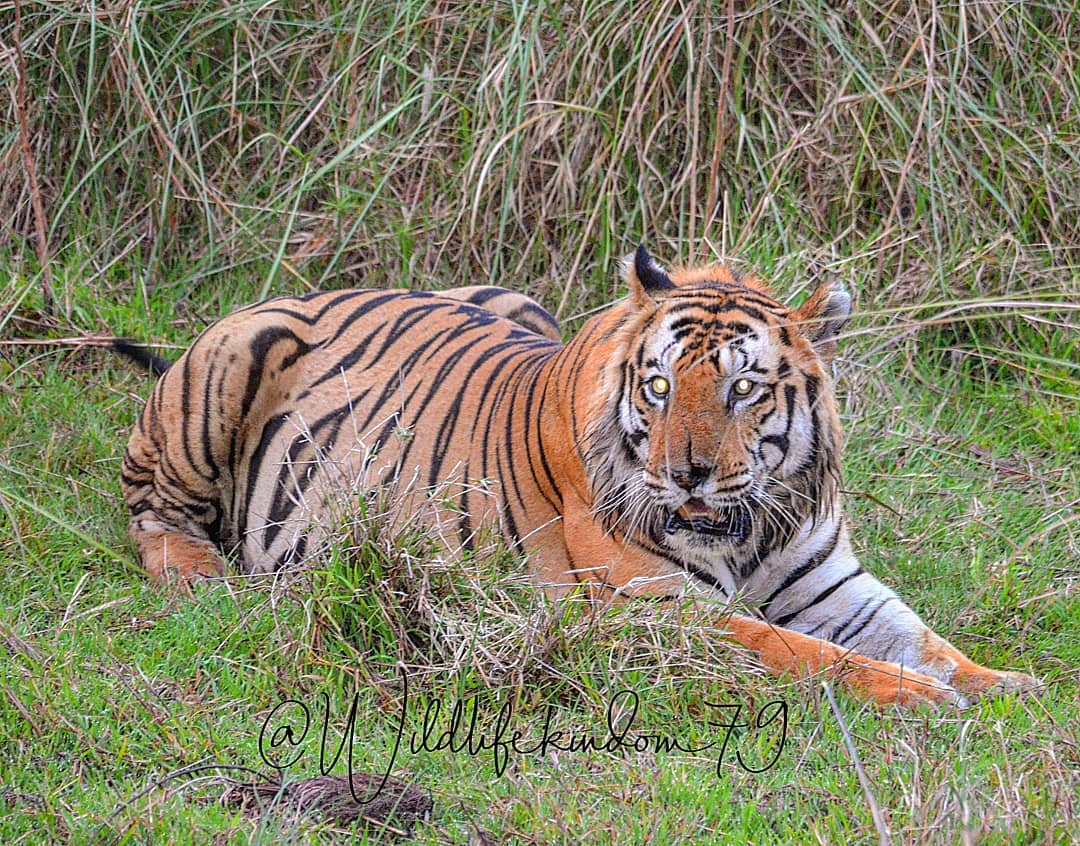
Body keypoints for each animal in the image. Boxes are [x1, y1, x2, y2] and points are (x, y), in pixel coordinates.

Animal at [122, 245, 1041, 708]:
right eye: (659, 387)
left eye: (743, 389)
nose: (687, 476)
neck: (751, 526)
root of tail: (320, 290)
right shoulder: (656, 609)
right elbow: (805, 653)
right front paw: (921, 698)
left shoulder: (830, 583)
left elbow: (925, 638)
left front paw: (1009, 687)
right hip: (225, 371)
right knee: (153, 516)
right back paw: (205, 580)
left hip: (513, 298)